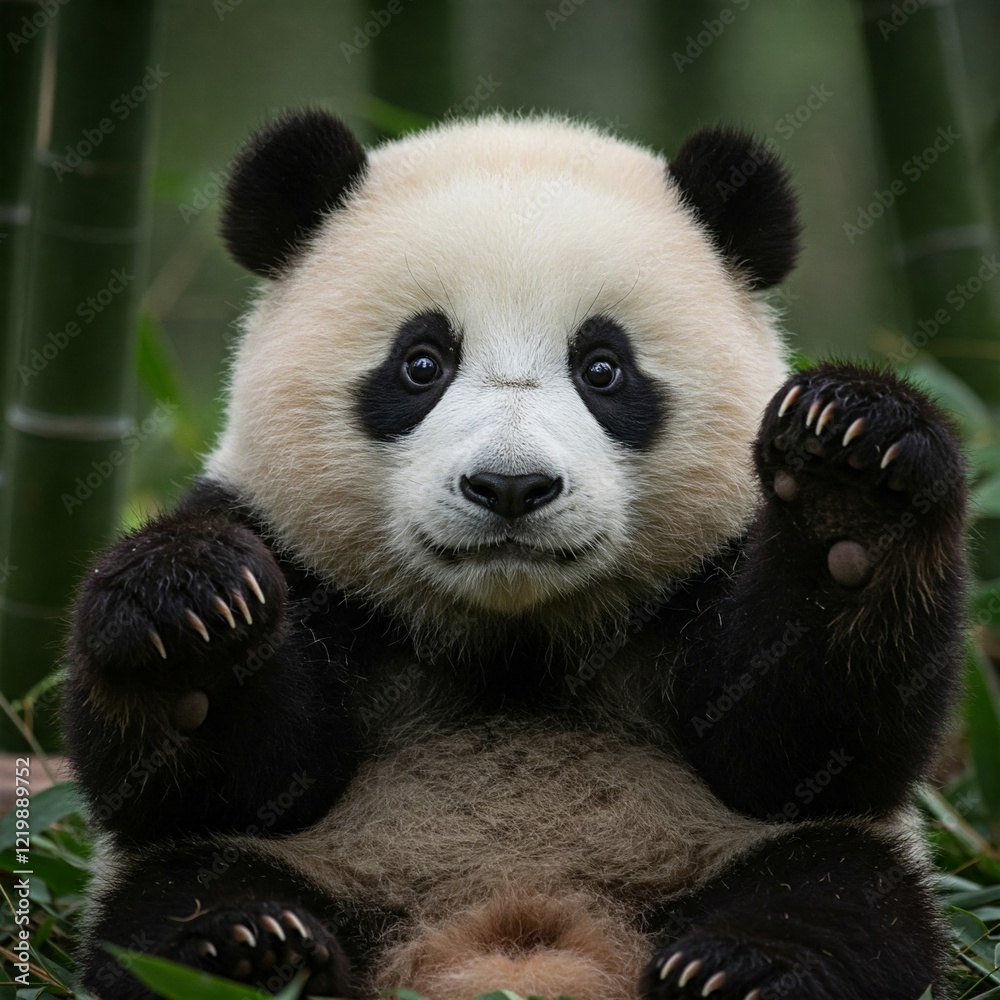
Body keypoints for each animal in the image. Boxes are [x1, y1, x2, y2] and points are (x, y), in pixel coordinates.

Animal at [64, 110, 968, 1000]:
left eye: (603, 368)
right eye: (421, 363)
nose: (509, 485)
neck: (514, 638)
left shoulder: (713, 568)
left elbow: (800, 743)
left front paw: (851, 481)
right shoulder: (288, 549)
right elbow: (232, 785)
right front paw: (187, 608)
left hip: (732, 853)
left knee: (836, 888)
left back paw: (743, 970)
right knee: (177, 893)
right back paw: (248, 952)